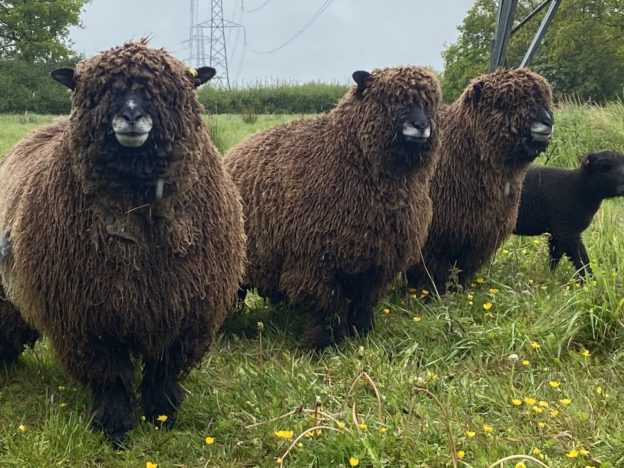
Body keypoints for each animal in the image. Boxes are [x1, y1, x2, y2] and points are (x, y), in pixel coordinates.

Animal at [0, 41, 246, 446]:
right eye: (99, 91)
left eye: (167, 91)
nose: (131, 116)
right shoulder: (90, 318)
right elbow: (110, 374)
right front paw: (115, 428)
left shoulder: (183, 311)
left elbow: (163, 370)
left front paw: (163, 415)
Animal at [224, 67, 444, 350]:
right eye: (390, 99)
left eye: (430, 103)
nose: (421, 125)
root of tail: (230, 154)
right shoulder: (316, 265)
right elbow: (327, 307)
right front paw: (324, 345)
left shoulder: (378, 265)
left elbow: (363, 304)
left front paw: (362, 334)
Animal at [408, 67, 552, 292]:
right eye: (502, 102)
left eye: (545, 101)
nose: (547, 121)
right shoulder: (433, 240)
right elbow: (429, 272)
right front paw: (429, 295)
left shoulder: (476, 239)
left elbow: (461, 272)